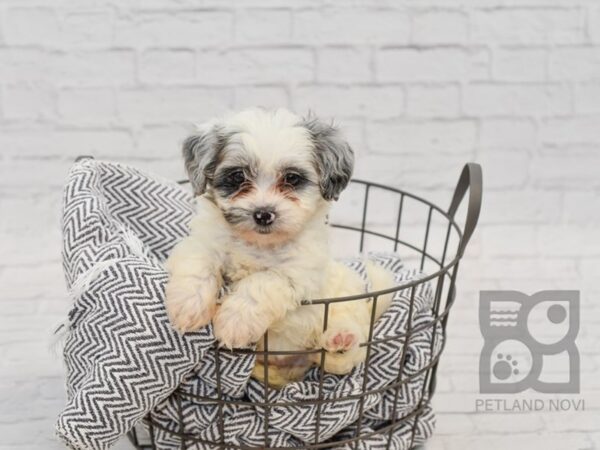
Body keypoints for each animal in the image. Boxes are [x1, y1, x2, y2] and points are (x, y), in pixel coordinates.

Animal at [165, 108, 394, 384]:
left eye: (292, 178)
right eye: (238, 176)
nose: (263, 214)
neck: (258, 244)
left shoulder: (297, 272)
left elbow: (259, 285)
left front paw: (234, 322)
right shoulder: (203, 243)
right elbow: (198, 266)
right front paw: (188, 307)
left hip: (345, 306)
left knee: (343, 354)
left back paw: (340, 340)